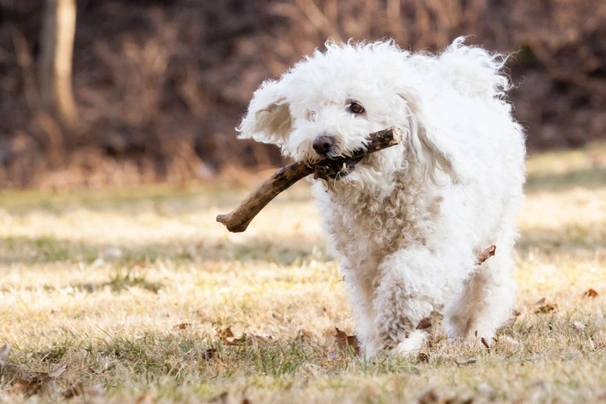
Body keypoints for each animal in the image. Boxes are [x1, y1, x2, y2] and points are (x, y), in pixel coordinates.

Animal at [238, 38, 528, 356]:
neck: (380, 192)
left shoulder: (437, 246)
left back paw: (471, 331)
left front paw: (394, 326)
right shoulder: (363, 262)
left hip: (494, 231)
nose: (322, 142)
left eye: (356, 107)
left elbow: (405, 280)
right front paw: (387, 346)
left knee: (485, 284)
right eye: (311, 114)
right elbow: (371, 302)